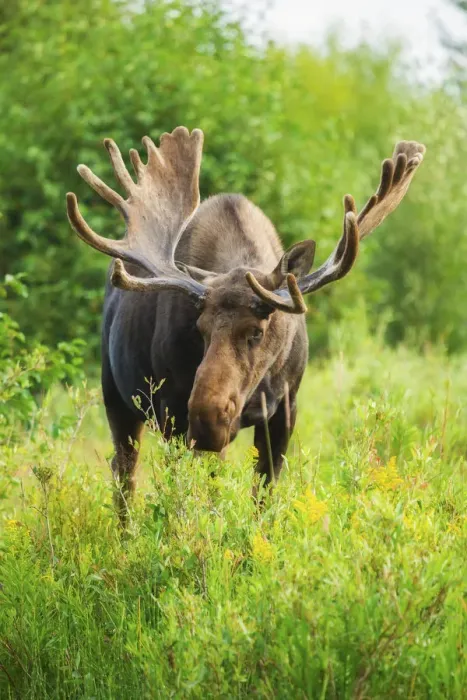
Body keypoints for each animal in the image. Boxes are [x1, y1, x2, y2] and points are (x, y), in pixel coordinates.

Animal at [66, 126, 425, 518]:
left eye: (258, 331)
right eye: (200, 328)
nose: (207, 417)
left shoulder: (285, 409)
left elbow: (263, 494)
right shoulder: (172, 412)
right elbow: (192, 498)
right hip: (116, 395)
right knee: (124, 473)